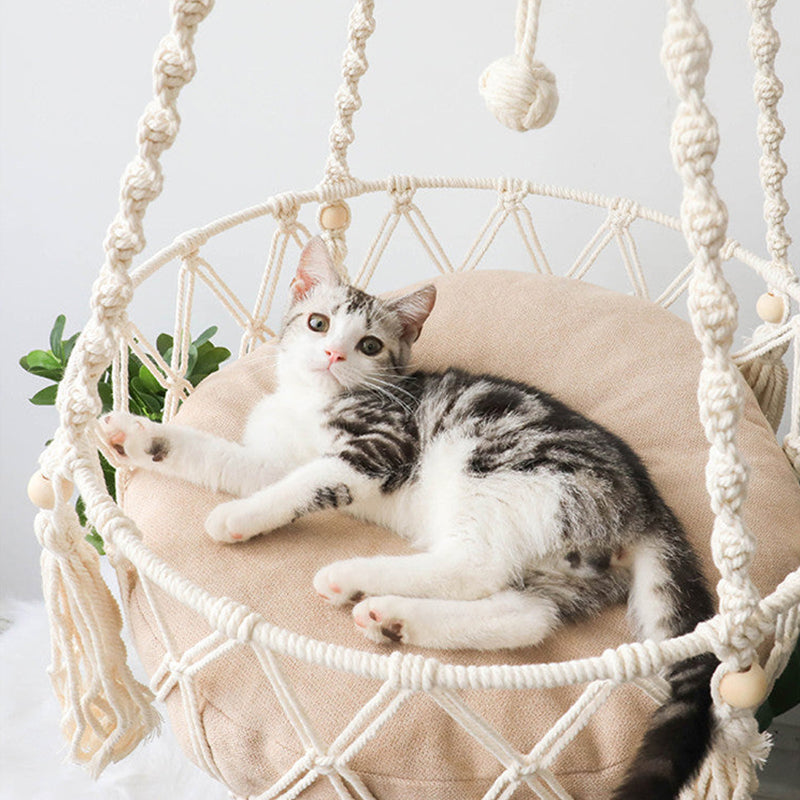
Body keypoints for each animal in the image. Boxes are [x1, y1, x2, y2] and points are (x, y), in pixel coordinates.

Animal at [100, 234, 720, 796]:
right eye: (318, 323)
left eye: (371, 344)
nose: (334, 355)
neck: (314, 403)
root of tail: (647, 503)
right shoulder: (272, 458)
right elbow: (232, 461)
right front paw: (140, 437)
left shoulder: (380, 447)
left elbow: (306, 482)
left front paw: (237, 516)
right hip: (560, 559)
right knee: (526, 616)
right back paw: (394, 617)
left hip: (503, 472)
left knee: (471, 566)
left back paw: (354, 579)